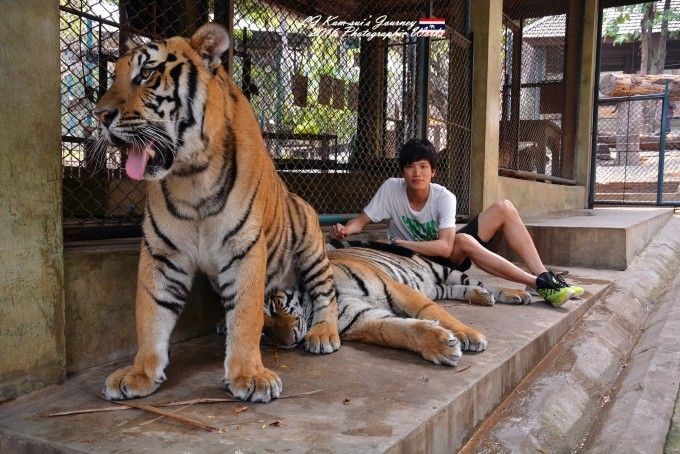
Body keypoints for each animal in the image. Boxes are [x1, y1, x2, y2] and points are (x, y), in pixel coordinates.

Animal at [93, 22, 340, 403]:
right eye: (114, 74)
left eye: (146, 73)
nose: (100, 115)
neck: (190, 176)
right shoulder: (161, 252)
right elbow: (149, 312)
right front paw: (139, 373)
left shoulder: (244, 248)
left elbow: (248, 314)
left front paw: (250, 375)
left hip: (310, 247)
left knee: (326, 292)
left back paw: (324, 334)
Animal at [255, 240, 532, 366]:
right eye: (263, 334)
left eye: (274, 308)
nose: (288, 342)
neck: (315, 309)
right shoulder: (364, 318)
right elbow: (395, 330)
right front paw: (441, 346)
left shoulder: (398, 289)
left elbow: (430, 311)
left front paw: (469, 335)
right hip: (437, 286)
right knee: (456, 289)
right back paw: (483, 297)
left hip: (443, 270)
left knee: (481, 282)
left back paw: (516, 293)